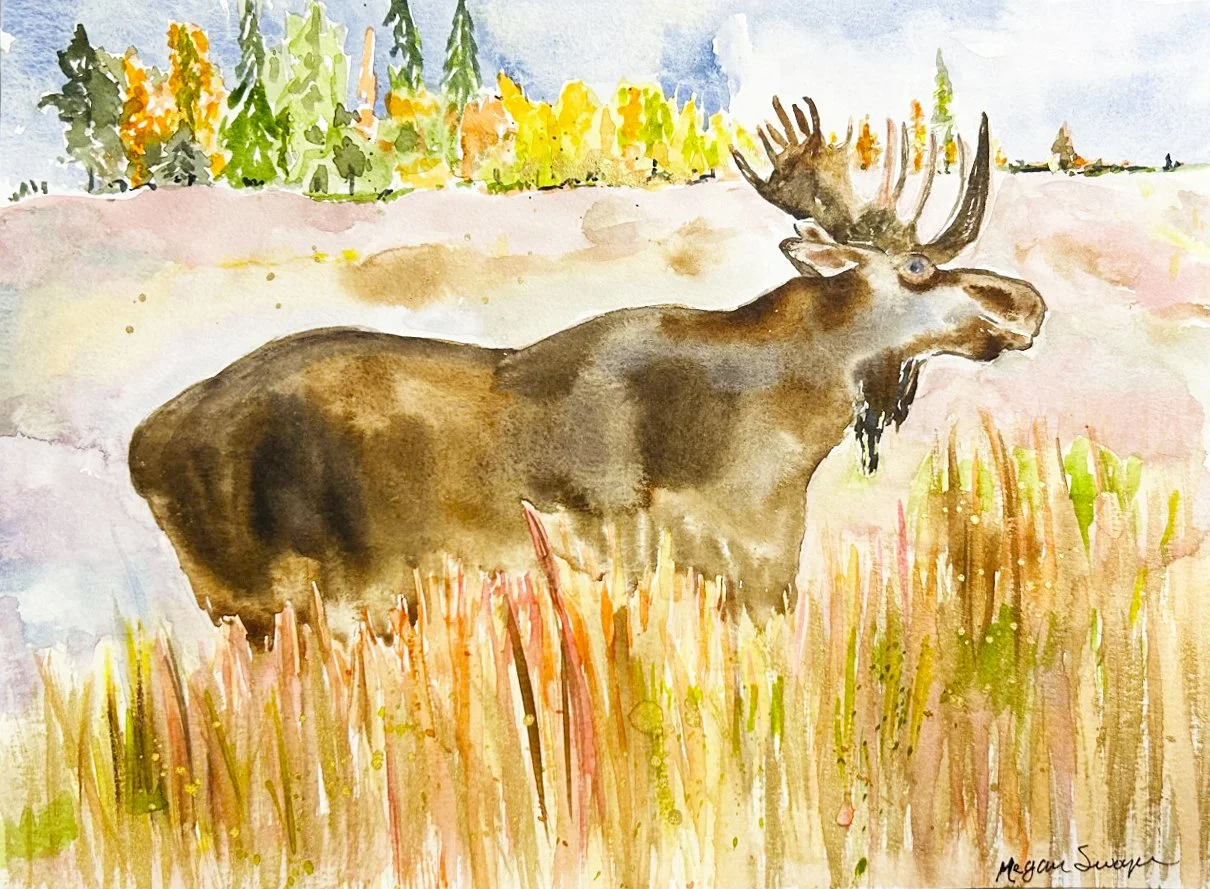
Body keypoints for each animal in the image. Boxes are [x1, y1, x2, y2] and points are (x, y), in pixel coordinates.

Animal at [128, 96, 1046, 640]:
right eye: (917, 267)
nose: (1029, 302)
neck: (777, 442)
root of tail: (144, 444)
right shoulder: (659, 556)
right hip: (287, 597)